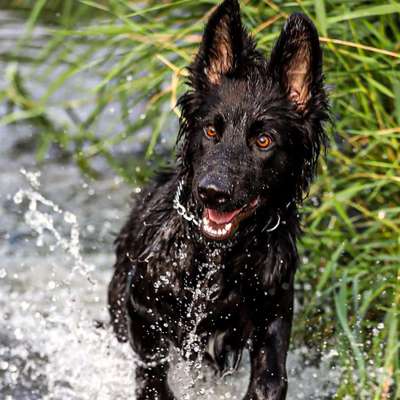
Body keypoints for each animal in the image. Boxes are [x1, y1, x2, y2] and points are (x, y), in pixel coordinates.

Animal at [108, 1, 328, 398]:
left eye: (263, 141)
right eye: (211, 130)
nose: (212, 191)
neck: (218, 257)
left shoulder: (274, 313)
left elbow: (271, 379)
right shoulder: (142, 308)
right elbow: (152, 376)